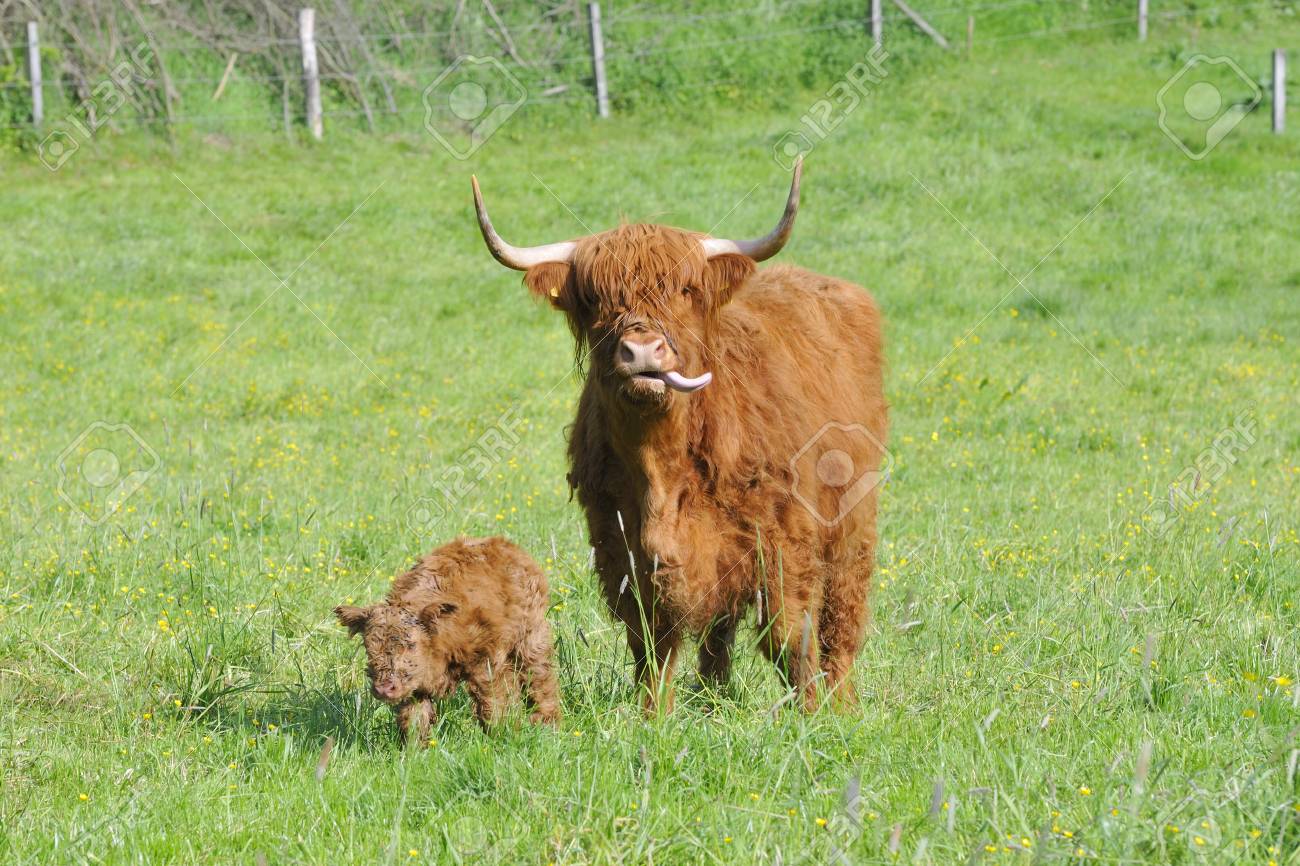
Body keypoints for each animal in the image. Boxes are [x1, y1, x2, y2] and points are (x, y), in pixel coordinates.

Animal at [471, 159, 887, 713]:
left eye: (684, 291)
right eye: (595, 298)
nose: (643, 350)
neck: (660, 468)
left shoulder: (783, 538)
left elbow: (788, 634)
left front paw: (814, 712)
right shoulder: (622, 546)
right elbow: (653, 640)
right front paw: (655, 714)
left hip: (851, 518)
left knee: (842, 612)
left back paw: (842, 699)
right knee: (719, 626)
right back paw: (713, 696)